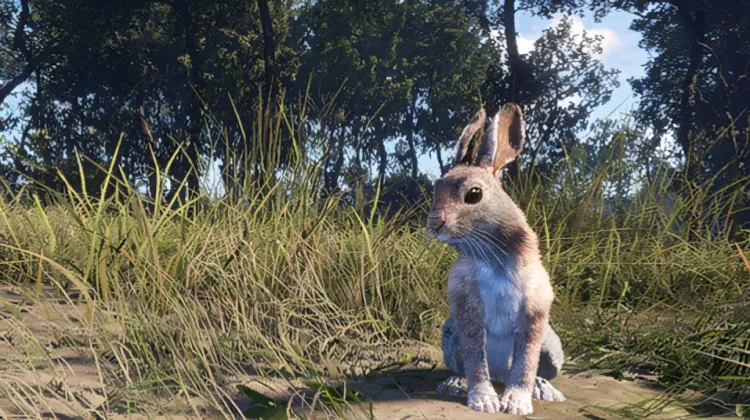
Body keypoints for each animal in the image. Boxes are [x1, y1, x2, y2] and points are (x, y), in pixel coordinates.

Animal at [425, 104, 566, 415]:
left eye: (474, 194)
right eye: (436, 187)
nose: (434, 224)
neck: (493, 256)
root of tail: (500, 375)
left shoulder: (534, 313)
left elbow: (525, 362)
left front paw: (516, 404)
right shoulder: (467, 312)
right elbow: (476, 360)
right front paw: (484, 402)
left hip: (552, 348)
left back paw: (545, 390)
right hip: (449, 336)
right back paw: (454, 384)